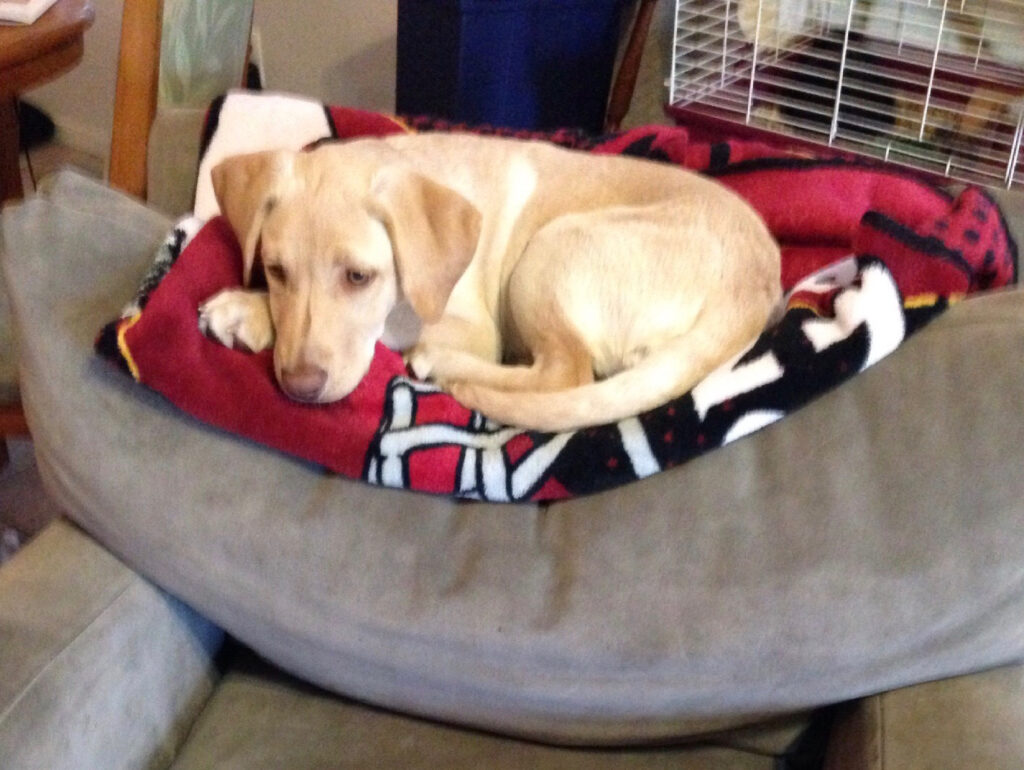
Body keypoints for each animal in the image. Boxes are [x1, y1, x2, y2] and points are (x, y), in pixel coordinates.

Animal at [197, 132, 774, 434]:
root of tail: (755, 282)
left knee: (566, 371)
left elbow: (386, 336)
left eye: (359, 277)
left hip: (546, 255)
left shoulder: (472, 327)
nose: (298, 388)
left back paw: (442, 366)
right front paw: (248, 309)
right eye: (276, 271)